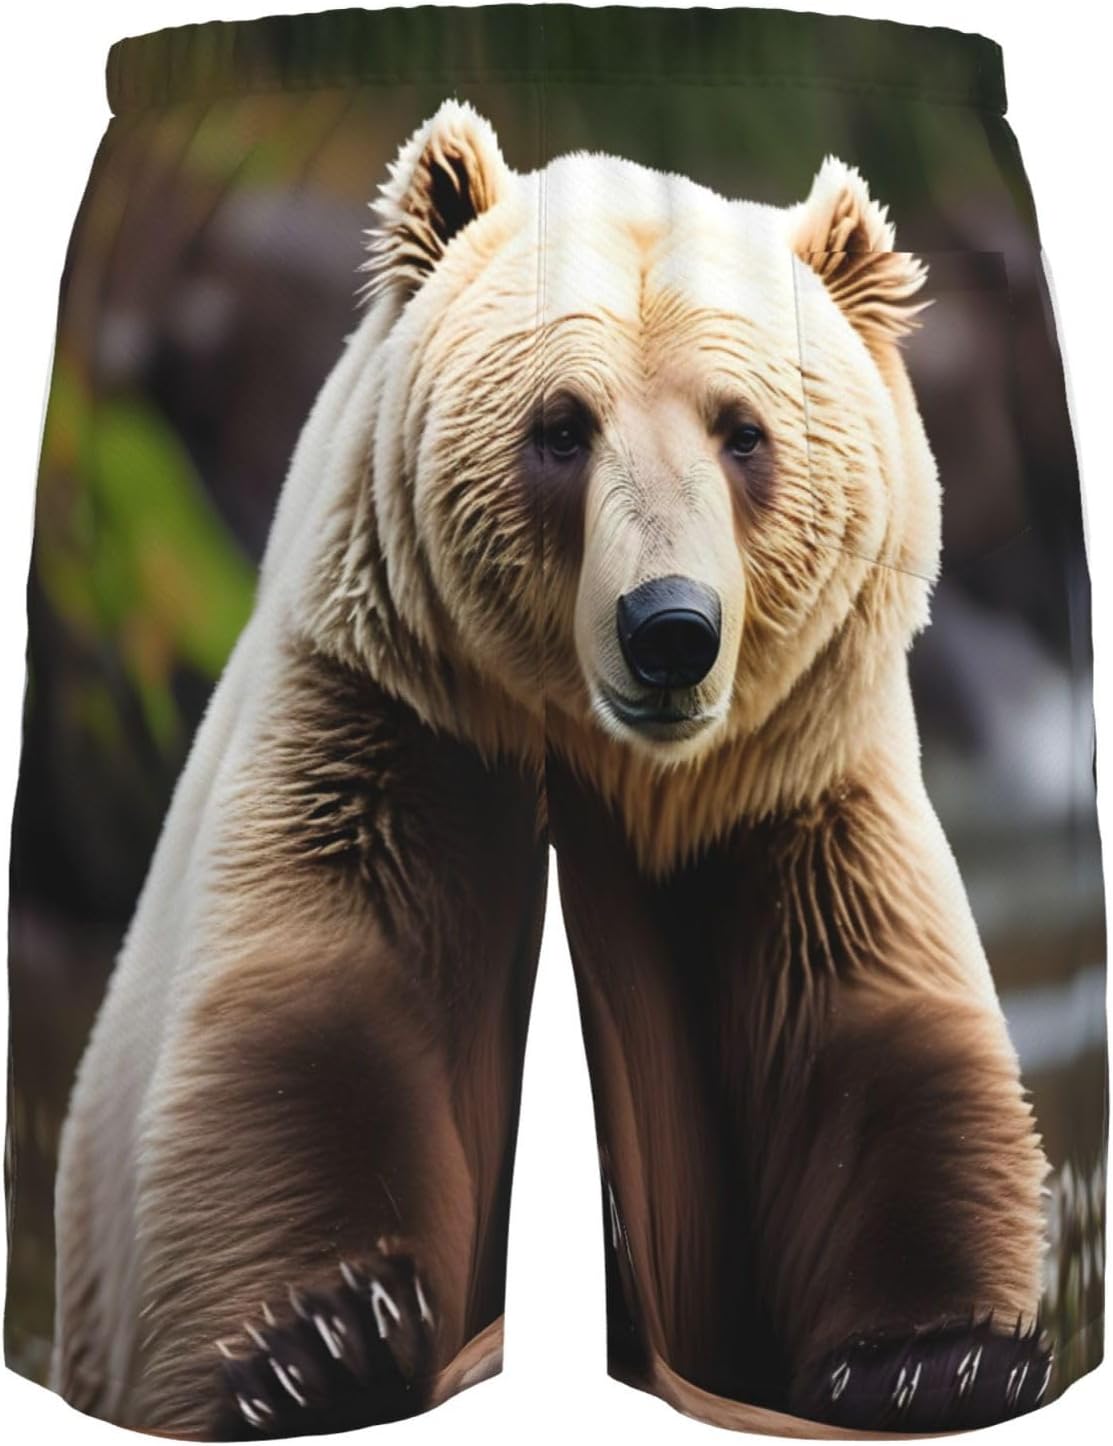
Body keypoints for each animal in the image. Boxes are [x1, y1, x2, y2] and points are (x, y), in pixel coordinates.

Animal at [51, 100, 1052, 1439]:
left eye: (744, 431)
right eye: (562, 427)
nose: (669, 629)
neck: (623, 772)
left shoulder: (794, 804)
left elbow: (873, 1046)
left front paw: (939, 1361)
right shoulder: (391, 739)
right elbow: (307, 1025)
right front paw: (327, 1343)